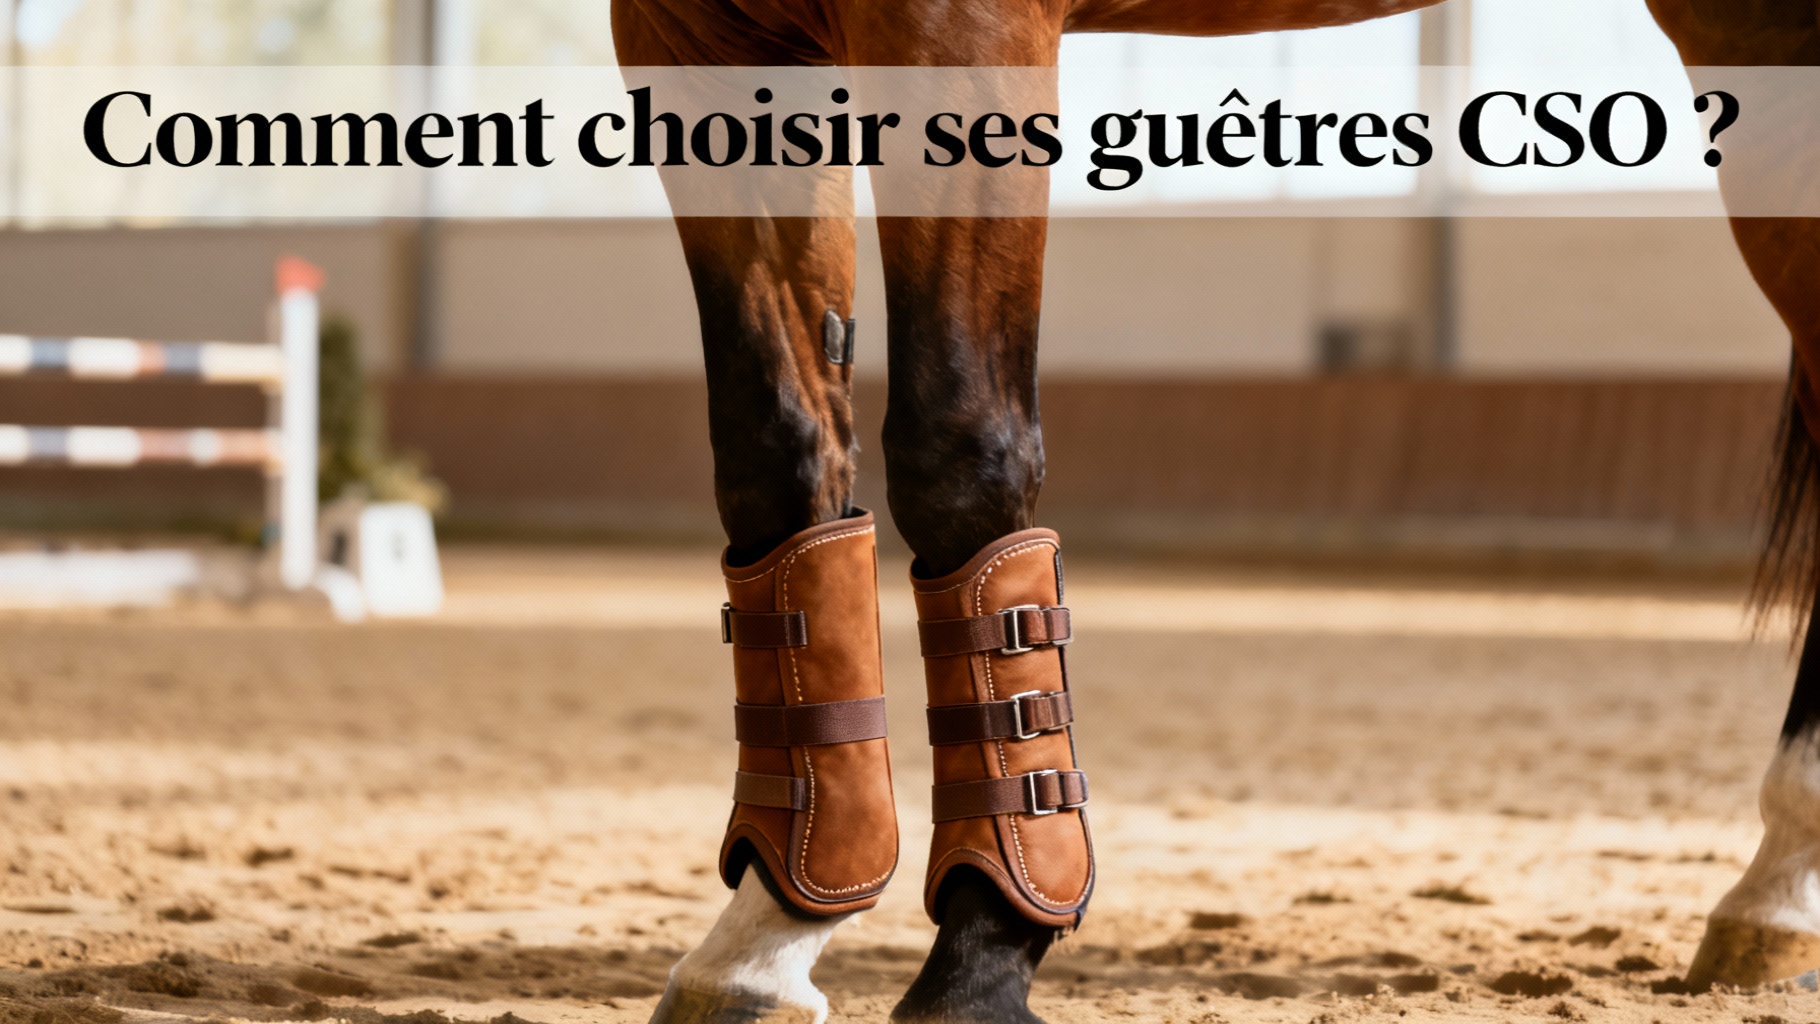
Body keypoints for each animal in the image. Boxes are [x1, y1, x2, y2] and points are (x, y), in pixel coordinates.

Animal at [610, 0, 1820, 1019]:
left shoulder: (957, 28)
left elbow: (960, 448)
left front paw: (981, 953)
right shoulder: (693, 35)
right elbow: (781, 454)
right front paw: (766, 938)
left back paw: (1783, 871)